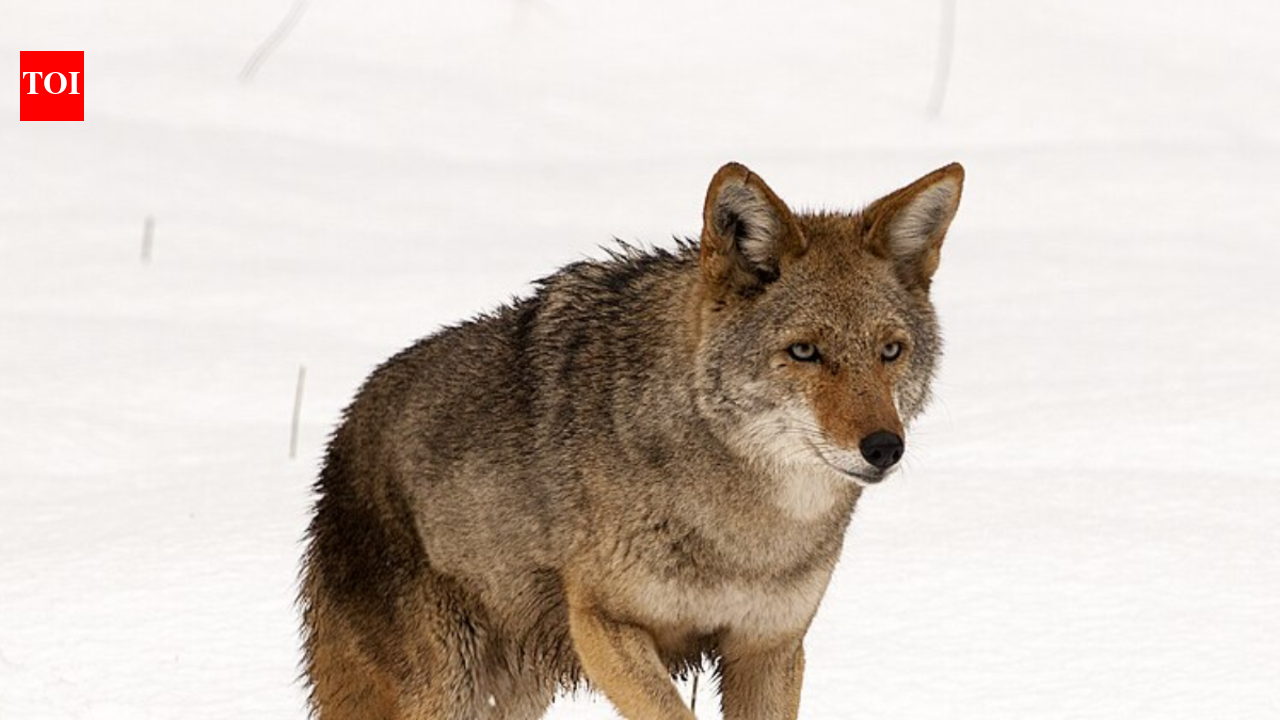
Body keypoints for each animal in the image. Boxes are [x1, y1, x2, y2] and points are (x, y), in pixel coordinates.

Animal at [300, 161, 965, 720]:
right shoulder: (605, 627)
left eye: (890, 351)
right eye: (805, 352)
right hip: (444, 694)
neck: (746, 533)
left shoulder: (769, 647)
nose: (884, 447)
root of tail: (344, 429)